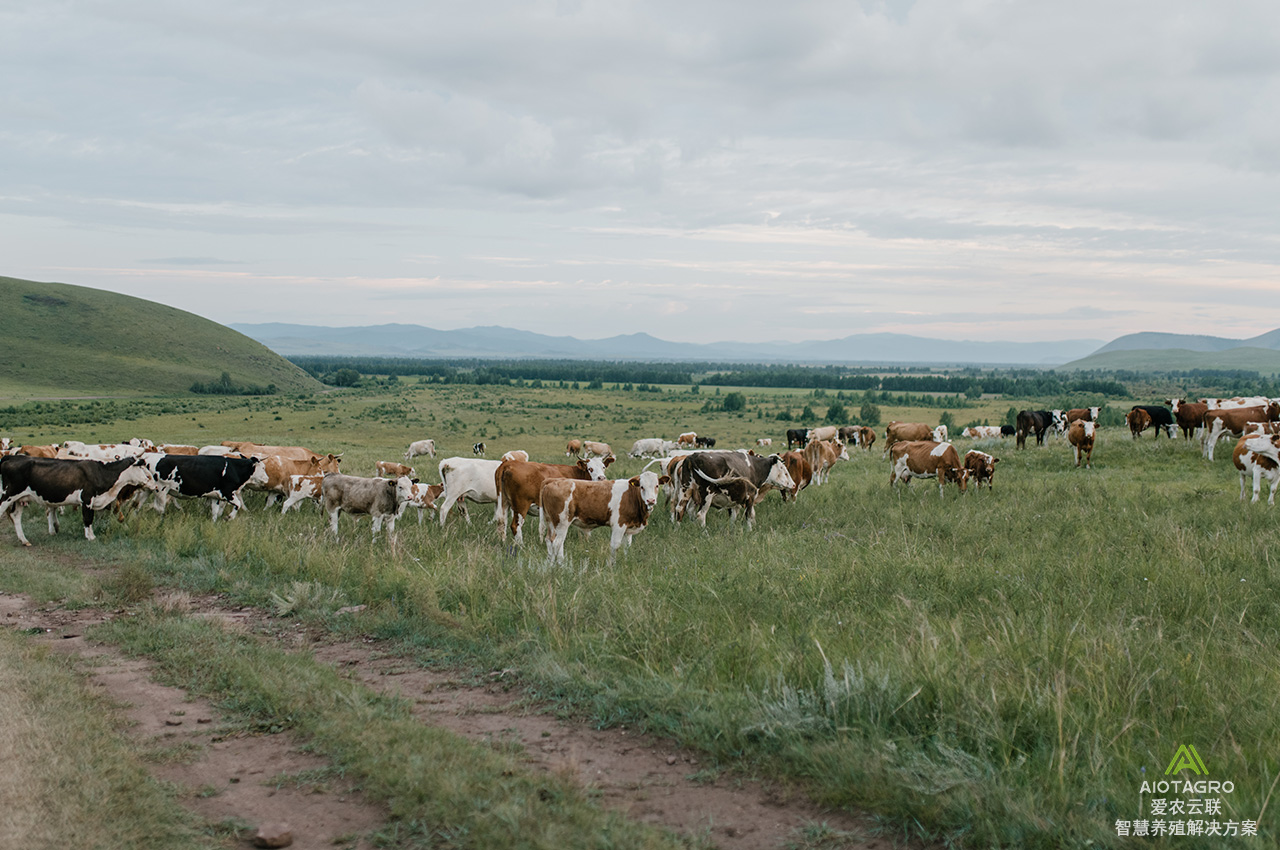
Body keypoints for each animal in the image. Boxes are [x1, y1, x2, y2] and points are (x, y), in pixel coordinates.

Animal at [537, 471, 670, 563]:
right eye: (642, 486)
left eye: (657, 485)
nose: (651, 500)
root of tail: (552, 481)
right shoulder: (619, 525)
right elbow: (615, 545)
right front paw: (612, 565)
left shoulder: (628, 528)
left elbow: (627, 546)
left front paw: (625, 561)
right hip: (562, 522)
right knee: (558, 543)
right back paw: (562, 565)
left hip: (551, 522)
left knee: (549, 540)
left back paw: (551, 563)